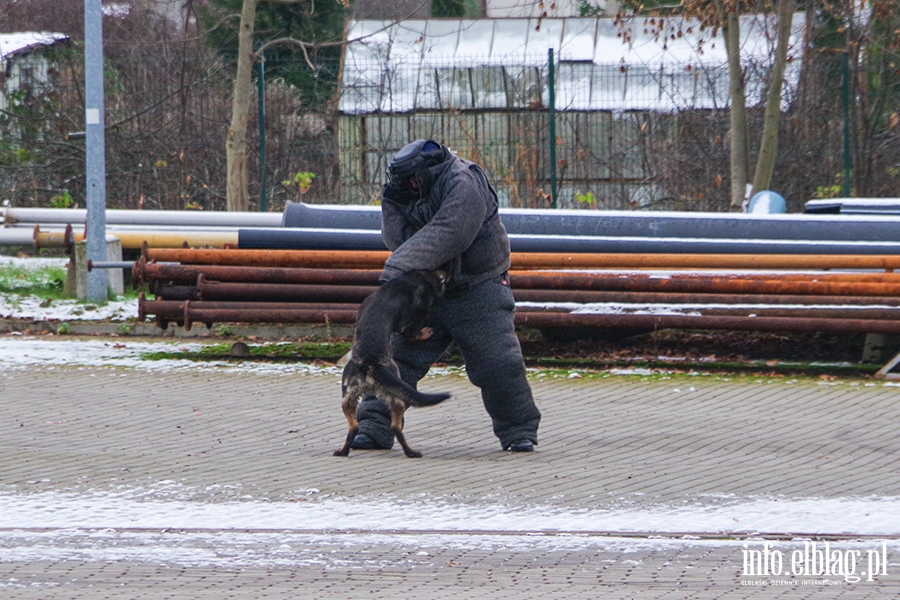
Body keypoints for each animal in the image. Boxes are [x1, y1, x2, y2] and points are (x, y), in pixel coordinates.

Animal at [334, 270, 450, 458]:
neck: (412, 279)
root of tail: (370, 362)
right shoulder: (411, 323)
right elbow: (414, 333)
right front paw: (426, 332)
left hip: (348, 398)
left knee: (355, 427)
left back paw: (343, 451)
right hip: (398, 395)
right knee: (395, 427)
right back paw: (412, 452)